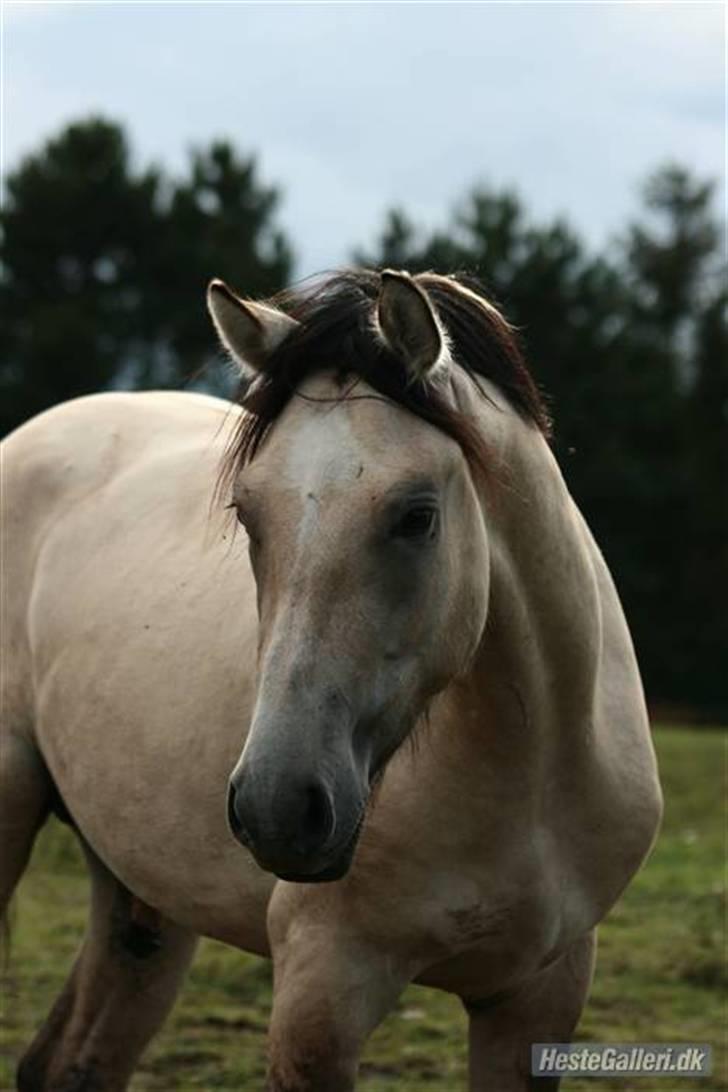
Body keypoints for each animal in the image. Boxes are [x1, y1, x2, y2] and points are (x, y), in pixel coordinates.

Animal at [0, 266, 663, 1092]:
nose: (278, 807)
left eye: (416, 516)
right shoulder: (323, 994)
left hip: (141, 892)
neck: (527, 774)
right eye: (247, 513)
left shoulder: (538, 996)